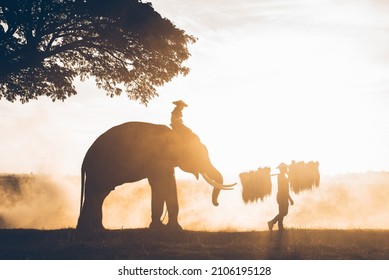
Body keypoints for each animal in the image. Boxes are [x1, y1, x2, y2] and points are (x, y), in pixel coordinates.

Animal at [76, 121, 233, 232]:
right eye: (198, 155)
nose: (217, 204)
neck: (175, 134)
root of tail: (85, 158)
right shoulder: (157, 159)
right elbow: (161, 183)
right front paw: (165, 228)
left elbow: (168, 184)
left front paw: (168, 228)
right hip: (99, 169)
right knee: (95, 193)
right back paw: (86, 230)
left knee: (100, 194)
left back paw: (97, 229)